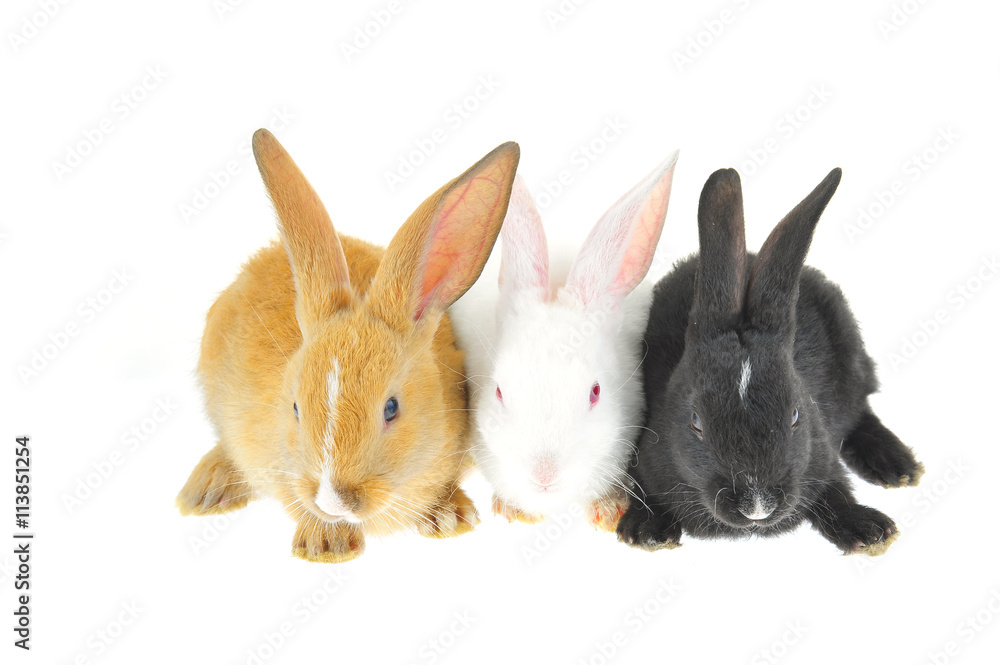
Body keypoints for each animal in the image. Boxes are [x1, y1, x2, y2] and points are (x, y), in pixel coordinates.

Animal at [176, 129, 520, 563]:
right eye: (295, 409)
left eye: (391, 408)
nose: (334, 501)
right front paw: (327, 546)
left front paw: (449, 519)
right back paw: (204, 492)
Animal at [616, 167, 924, 556]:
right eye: (696, 423)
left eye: (795, 416)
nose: (757, 507)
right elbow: (639, 486)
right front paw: (647, 531)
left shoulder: (820, 452)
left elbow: (836, 489)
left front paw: (870, 531)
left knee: (862, 412)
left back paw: (899, 467)